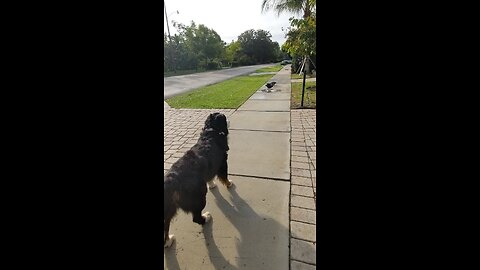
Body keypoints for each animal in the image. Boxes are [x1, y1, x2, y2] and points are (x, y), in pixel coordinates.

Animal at [164, 112, 233, 249]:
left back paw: (169, 241)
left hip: (169, 207)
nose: (228, 120)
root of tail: (171, 180)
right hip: (199, 197)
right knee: (196, 218)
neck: (210, 131)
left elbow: (210, 176)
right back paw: (206, 218)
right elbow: (224, 176)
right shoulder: (222, 162)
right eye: (224, 117)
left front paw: (212, 184)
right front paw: (229, 184)